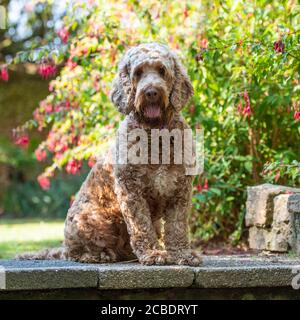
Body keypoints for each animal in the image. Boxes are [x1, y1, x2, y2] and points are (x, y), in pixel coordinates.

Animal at [17, 43, 203, 268]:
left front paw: (182, 254)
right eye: (138, 73)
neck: (155, 132)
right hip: (90, 218)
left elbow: (177, 226)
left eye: (162, 70)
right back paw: (98, 255)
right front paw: (153, 254)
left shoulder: (180, 189)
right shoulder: (131, 192)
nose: (151, 92)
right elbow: (141, 225)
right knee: (77, 251)